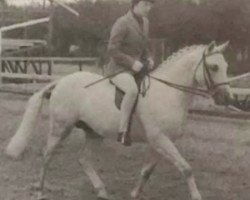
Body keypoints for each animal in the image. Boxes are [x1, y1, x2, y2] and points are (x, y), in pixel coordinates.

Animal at [5, 41, 231, 200]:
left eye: (226, 66)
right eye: (213, 67)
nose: (226, 98)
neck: (168, 93)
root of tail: (61, 81)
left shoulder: (160, 142)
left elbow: (146, 172)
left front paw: (134, 194)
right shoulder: (160, 139)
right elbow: (186, 169)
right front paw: (197, 196)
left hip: (94, 132)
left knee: (83, 159)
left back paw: (101, 190)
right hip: (61, 128)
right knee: (47, 155)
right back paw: (40, 190)